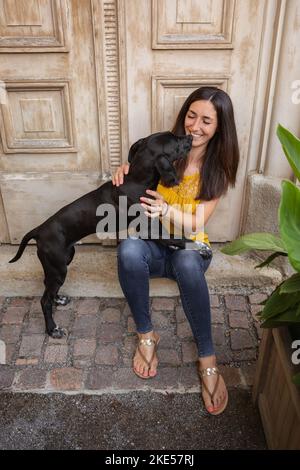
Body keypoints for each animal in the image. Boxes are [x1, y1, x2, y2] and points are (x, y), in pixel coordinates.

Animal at [9, 132, 192, 338]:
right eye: (175, 140)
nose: (191, 137)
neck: (137, 180)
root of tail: (39, 230)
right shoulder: (148, 230)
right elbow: (177, 239)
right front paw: (199, 247)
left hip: (62, 262)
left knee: (48, 287)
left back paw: (58, 300)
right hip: (58, 268)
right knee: (44, 300)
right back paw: (52, 329)